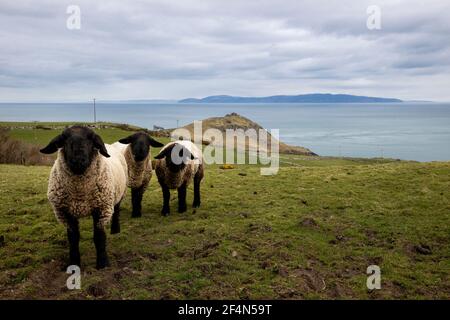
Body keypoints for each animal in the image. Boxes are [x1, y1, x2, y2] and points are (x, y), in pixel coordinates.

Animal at [39, 126, 127, 268]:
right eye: (65, 139)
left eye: (91, 139)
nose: (78, 161)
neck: (80, 192)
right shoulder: (65, 213)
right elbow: (73, 239)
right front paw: (74, 263)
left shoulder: (101, 209)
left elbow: (99, 237)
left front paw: (102, 263)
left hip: (119, 193)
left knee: (117, 211)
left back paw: (115, 230)